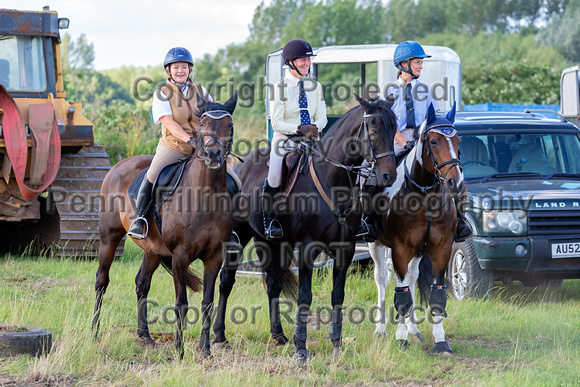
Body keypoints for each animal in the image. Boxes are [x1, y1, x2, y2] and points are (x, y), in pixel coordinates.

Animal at [213, 95, 398, 362]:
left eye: (394, 130)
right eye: (373, 131)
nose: (388, 176)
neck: (333, 179)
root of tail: (241, 165)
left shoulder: (346, 249)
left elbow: (337, 295)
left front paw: (336, 344)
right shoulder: (308, 247)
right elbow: (305, 296)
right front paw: (301, 348)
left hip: (270, 241)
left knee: (273, 284)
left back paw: (278, 336)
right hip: (240, 236)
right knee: (227, 281)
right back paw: (220, 337)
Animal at [370, 102, 464, 354]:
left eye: (458, 141)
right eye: (434, 141)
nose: (456, 182)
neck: (424, 196)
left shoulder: (441, 249)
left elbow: (437, 294)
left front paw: (440, 341)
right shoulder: (400, 250)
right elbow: (401, 296)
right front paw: (400, 338)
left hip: (418, 252)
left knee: (412, 279)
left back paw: (413, 329)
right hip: (376, 244)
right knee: (382, 279)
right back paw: (381, 328)